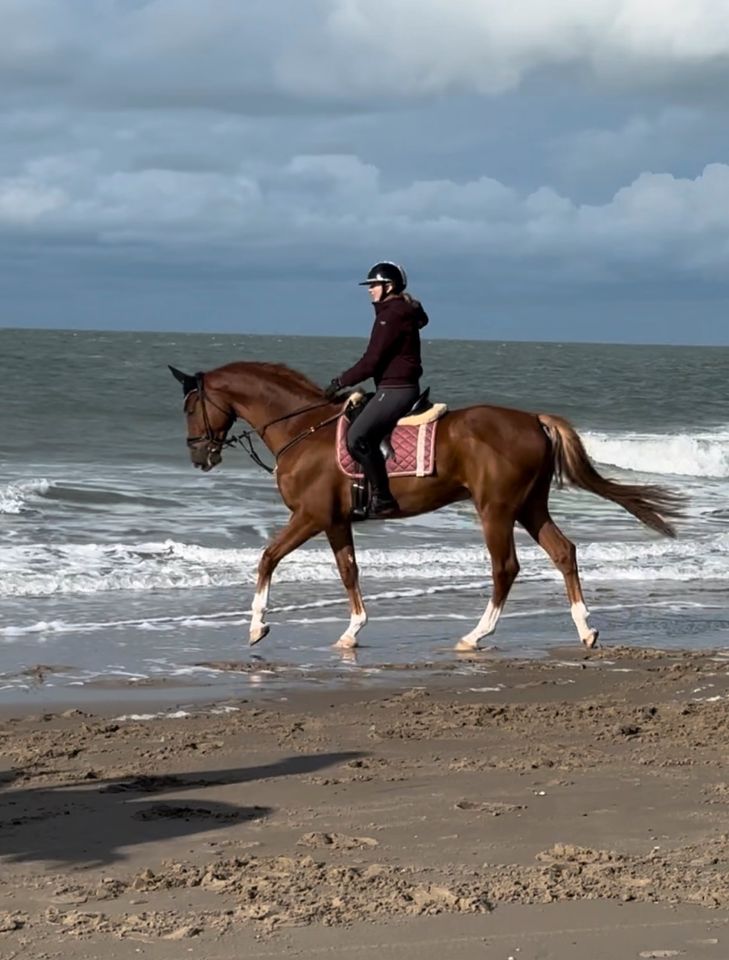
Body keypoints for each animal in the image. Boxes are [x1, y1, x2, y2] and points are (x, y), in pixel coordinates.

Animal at [171, 360, 684, 652]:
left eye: (190, 407)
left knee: (506, 567)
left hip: (496, 509)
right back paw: (585, 630)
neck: (305, 429)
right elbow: (349, 571)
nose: (199, 456)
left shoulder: (311, 517)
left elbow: (267, 557)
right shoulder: (335, 521)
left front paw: (257, 627)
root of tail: (532, 420)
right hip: (529, 506)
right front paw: (352, 631)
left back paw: (476, 636)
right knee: (563, 552)